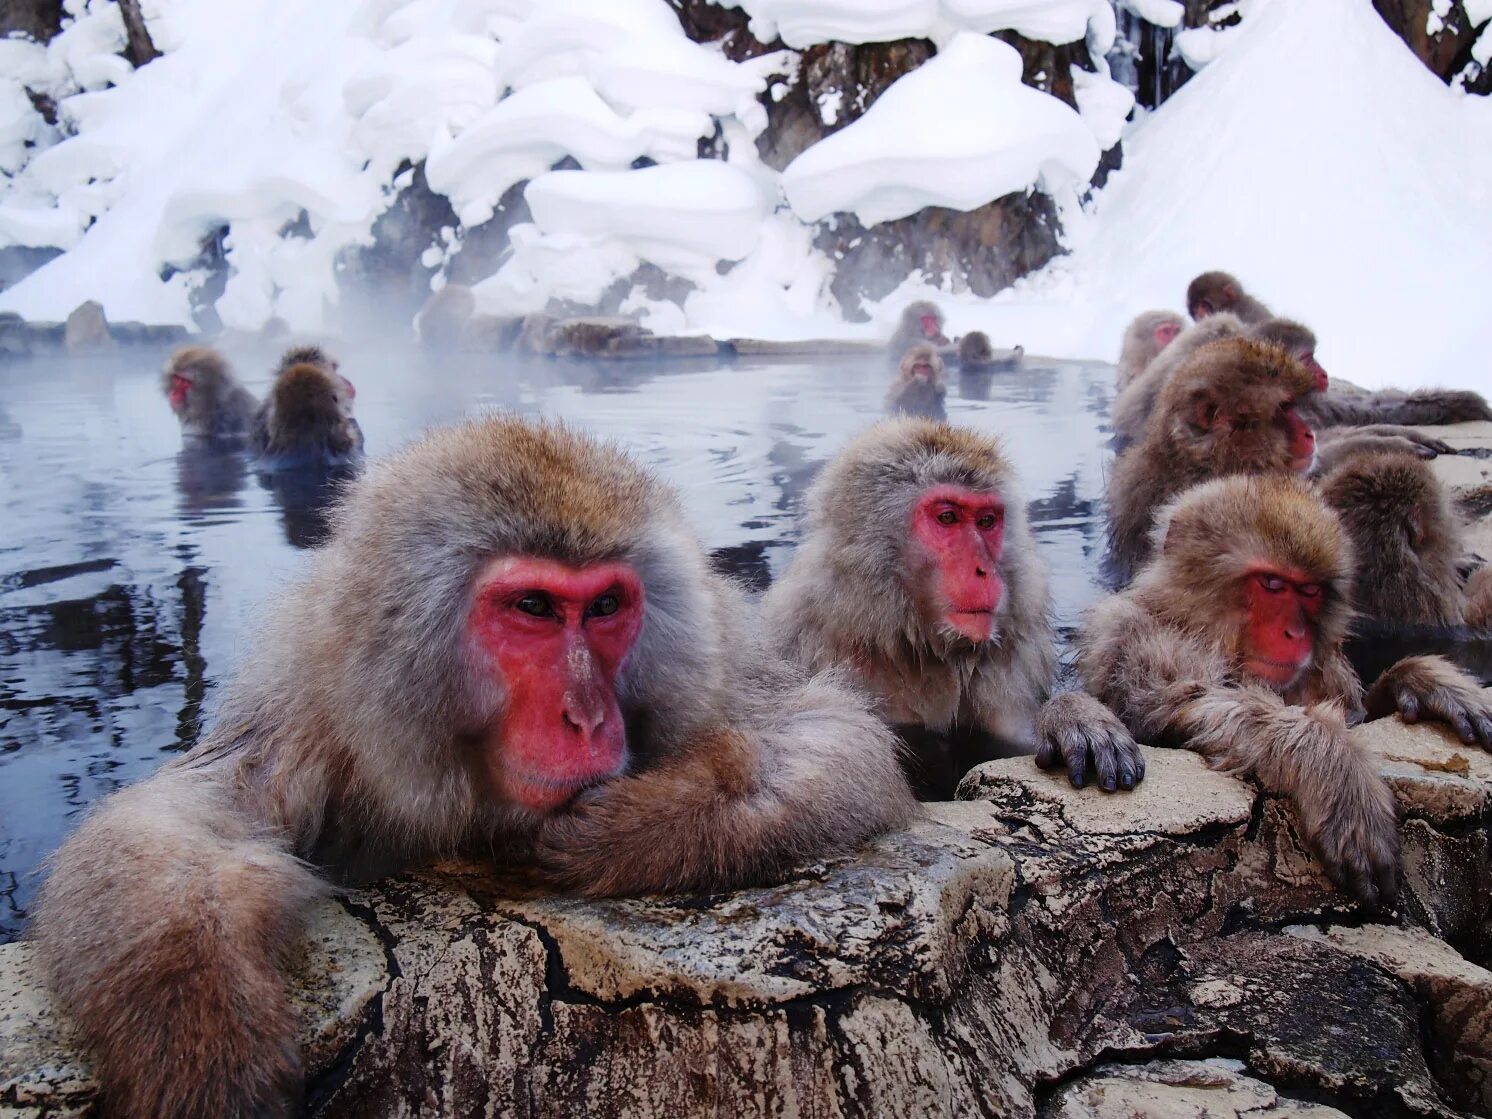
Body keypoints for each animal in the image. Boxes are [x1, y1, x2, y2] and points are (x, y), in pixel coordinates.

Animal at [32, 415, 916, 1119]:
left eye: (605, 607)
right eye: (533, 608)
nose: (589, 717)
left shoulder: (714, 664)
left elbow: (834, 732)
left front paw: (642, 827)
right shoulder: (308, 704)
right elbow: (193, 813)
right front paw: (194, 1019)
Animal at [1075, 473, 1492, 907]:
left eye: (1309, 591)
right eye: (1272, 583)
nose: (1295, 634)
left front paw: (1424, 681)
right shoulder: (1130, 638)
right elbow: (1180, 705)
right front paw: (1336, 769)